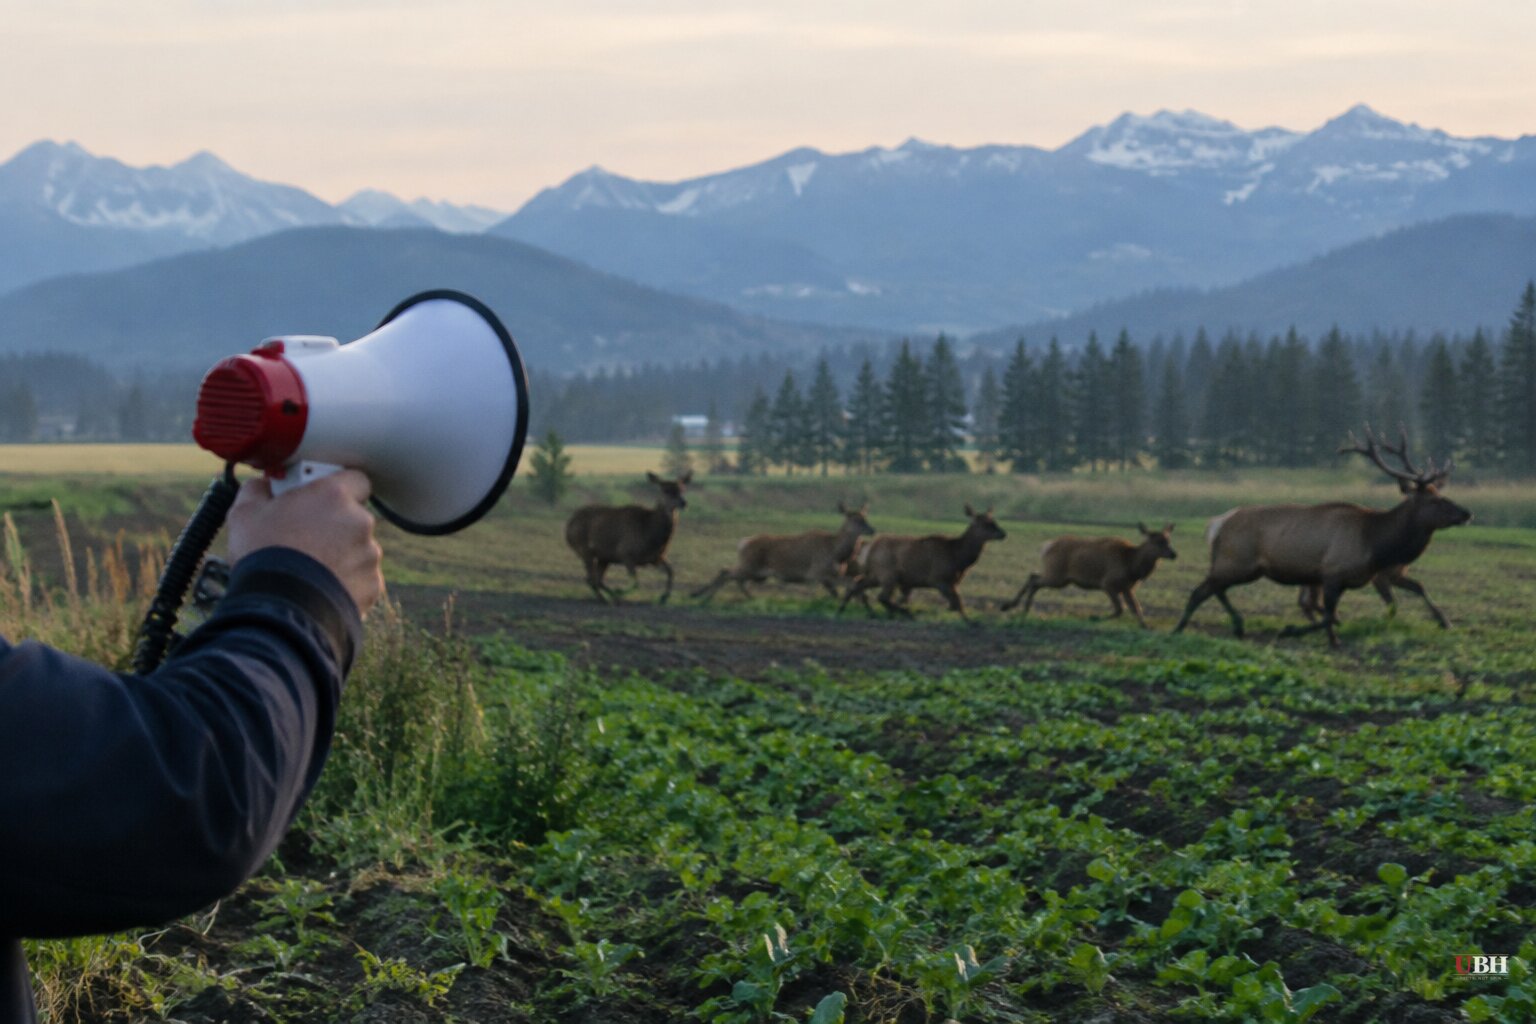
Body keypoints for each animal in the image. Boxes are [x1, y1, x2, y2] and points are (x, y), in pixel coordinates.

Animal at [564, 471, 691, 605]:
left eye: (682, 489)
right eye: (666, 490)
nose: (683, 502)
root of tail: (568, 526)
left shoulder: (656, 558)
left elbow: (671, 572)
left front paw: (664, 597)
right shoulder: (625, 553)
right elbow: (636, 583)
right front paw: (619, 591)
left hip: (604, 557)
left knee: (596, 579)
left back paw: (608, 598)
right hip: (584, 549)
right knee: (591, 579)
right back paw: (608, 598)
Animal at [691, 502, 875, 604]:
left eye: (866, 517)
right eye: (855, 519)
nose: (872, 529)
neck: (837, 553)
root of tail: (742, 543)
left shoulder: (829, 575)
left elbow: (837, 591)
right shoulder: (817, 572)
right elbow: (848, 585)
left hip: (756, 573)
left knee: (734, 576)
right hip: (750, 565)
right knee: (727, 571)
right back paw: (701, 597)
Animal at [837, 505, 1007, 622]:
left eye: (993, 520)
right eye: (985, 523)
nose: (1003, 533)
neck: (959, 559)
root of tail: (869, 548)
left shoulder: (950, 581)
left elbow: (955, 602)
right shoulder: (939, 578)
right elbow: (958, 602)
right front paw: (971, 622)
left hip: (876, 574)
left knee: (858, 585)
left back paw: (846, 610)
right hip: (888, 573)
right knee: (881, 597)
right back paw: (906, 614)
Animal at [1001, 523, 1178, 627]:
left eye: (1169, 540)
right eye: (1157, 542)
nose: (1174, 554)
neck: (1132, 566)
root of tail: (1046, 546)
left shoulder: (1127, 588)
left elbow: (1136, 609)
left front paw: (1145, 626)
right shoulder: (1108, 583)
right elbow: (1120, 609)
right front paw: (1094, 617)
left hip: (1057, 576)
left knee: (1033, 576)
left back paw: (1022, 610)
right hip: (1057, 575)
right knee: (1034, 579)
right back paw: (1011, 607)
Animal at [1172, 427, 1470, 646]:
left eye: (1440, 492)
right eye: (1434, 500)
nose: (1467, 512)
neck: (1375, 544)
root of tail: (1217, 524)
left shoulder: (1349, 578)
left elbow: (1330, 613)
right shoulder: (1332, 573)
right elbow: (1328, 615)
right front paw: (1309, 634)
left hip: (1242, 567)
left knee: (1215, 589)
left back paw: (1236, 626)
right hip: (1236, 561)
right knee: (1202, 589)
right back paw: (1180, 628)